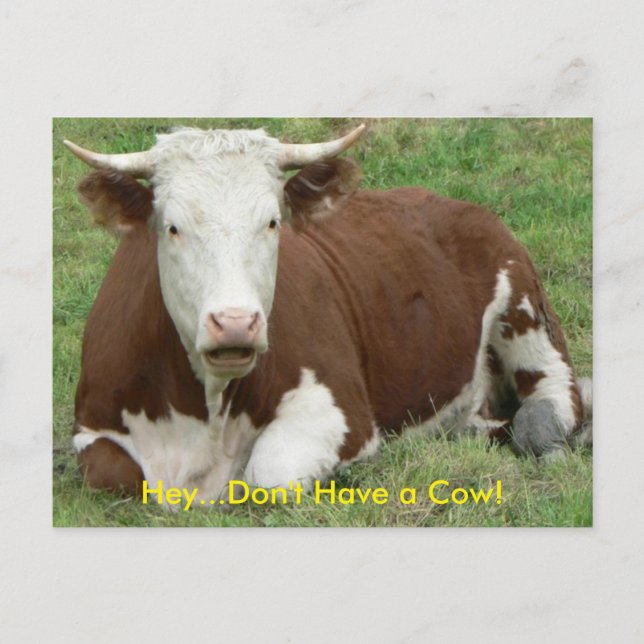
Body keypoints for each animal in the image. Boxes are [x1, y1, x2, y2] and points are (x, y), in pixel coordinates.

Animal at [64, 123, 592, 503]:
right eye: (172, 227)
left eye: (272, 222)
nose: (235, 323)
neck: (205, 412)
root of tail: (444, 200)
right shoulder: (92, 425)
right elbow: (116, 473)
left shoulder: (342, 411)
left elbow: (269, 474)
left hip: (526, 309)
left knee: (555, 394)